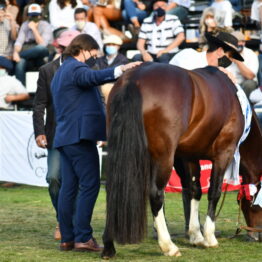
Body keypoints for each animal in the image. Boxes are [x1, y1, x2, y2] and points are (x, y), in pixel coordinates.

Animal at [101, 62, 251, 258]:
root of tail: (134, 79)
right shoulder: (224, 152)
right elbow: (214, 191)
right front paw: (209, 237)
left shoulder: (187, 156)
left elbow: (194, 190)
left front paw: (196, 236)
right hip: (163, 157)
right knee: (156, 194)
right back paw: (168, 246)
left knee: (113, 190)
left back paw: (108, 246)